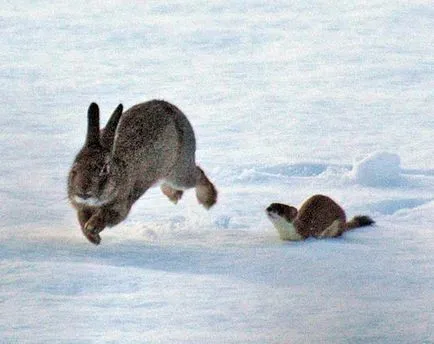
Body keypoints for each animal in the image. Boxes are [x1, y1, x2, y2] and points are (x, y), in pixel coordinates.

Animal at [67, 99, 217, 245]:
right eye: (74, 168)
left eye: (104, 169)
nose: (83, 192)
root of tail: (172, 109)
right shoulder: (82, 207)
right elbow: (81, 218)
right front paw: (93, 238)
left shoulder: (120, 207)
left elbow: (105, 216)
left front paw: (92, 227)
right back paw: (174, 196)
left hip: (179, 173)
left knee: (198, 174)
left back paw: (209, 200)